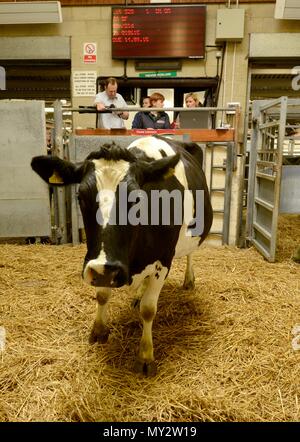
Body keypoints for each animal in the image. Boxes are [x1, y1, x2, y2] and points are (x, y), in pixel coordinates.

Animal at [31, 136, 213, 374]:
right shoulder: (99, 266)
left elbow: (148, 309)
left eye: (136, 198)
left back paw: (189, 280)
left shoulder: (164, 260)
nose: (107, 269)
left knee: (191, 253)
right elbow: (102, 295)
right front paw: (99, 330)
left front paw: (145, 356)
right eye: (80, 196)